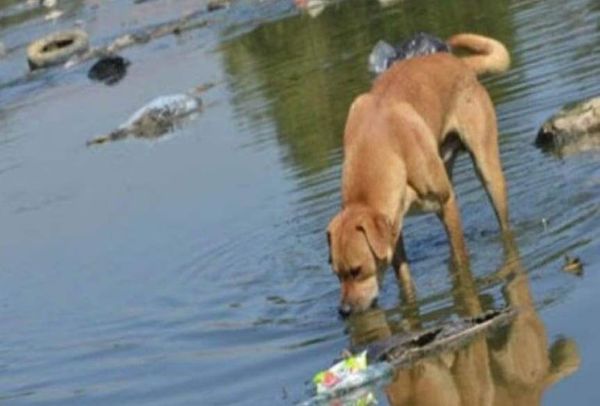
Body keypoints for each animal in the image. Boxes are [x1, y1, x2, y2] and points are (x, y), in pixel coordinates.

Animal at [328, 33, 510, 316]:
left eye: (356, 271)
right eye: (337, 274)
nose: (344, 311)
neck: (378, 142)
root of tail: (462, 65)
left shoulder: (446, 200)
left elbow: (463, 260)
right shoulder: (394, 226)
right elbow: (404, 278)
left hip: (487, 169)